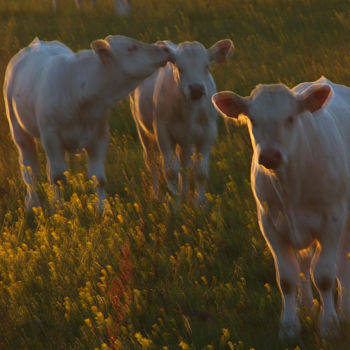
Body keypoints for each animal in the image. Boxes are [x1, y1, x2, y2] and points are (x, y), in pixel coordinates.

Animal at [3, 34, 172, 211]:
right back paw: (32, 204)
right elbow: (58, 177)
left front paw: (103, 209)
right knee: (30, 171)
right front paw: (59, 207)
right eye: (131, 48)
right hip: (19, 132)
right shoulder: (50, 137)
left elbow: (98, 178)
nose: (164, 48)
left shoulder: (99, 136)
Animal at [130, 38, 234, 204]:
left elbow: (200, 171)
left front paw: (200, 203)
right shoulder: (162, 131)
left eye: (207, 66)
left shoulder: (208, 132)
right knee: (152, 162)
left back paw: (184, 193)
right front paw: (175, 202)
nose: (196, 89)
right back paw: (157, 194)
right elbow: (170, 170)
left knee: (185, 163)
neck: (189, 112)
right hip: (143, 131)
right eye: (180, 67)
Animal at [212, 76, 350, 340]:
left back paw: (343, 310)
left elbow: (325, 275)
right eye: (253, 120)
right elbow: (287, 277)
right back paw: (307, 307)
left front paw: (329, 324)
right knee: (305, 265)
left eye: (290, 118)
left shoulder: (333, 219)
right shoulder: (269, 224)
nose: (270, 155)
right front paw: (289, 326)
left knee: (341, 264)